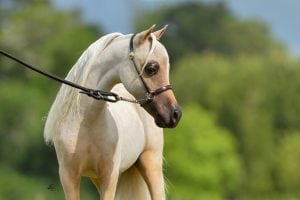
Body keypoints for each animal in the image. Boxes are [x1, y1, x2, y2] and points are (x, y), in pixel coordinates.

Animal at [44, 25, 180, 200]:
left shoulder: (109, 176)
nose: (175, 114)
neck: (86, 122)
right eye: (151, 68)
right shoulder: (69, 177)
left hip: (151, 162)